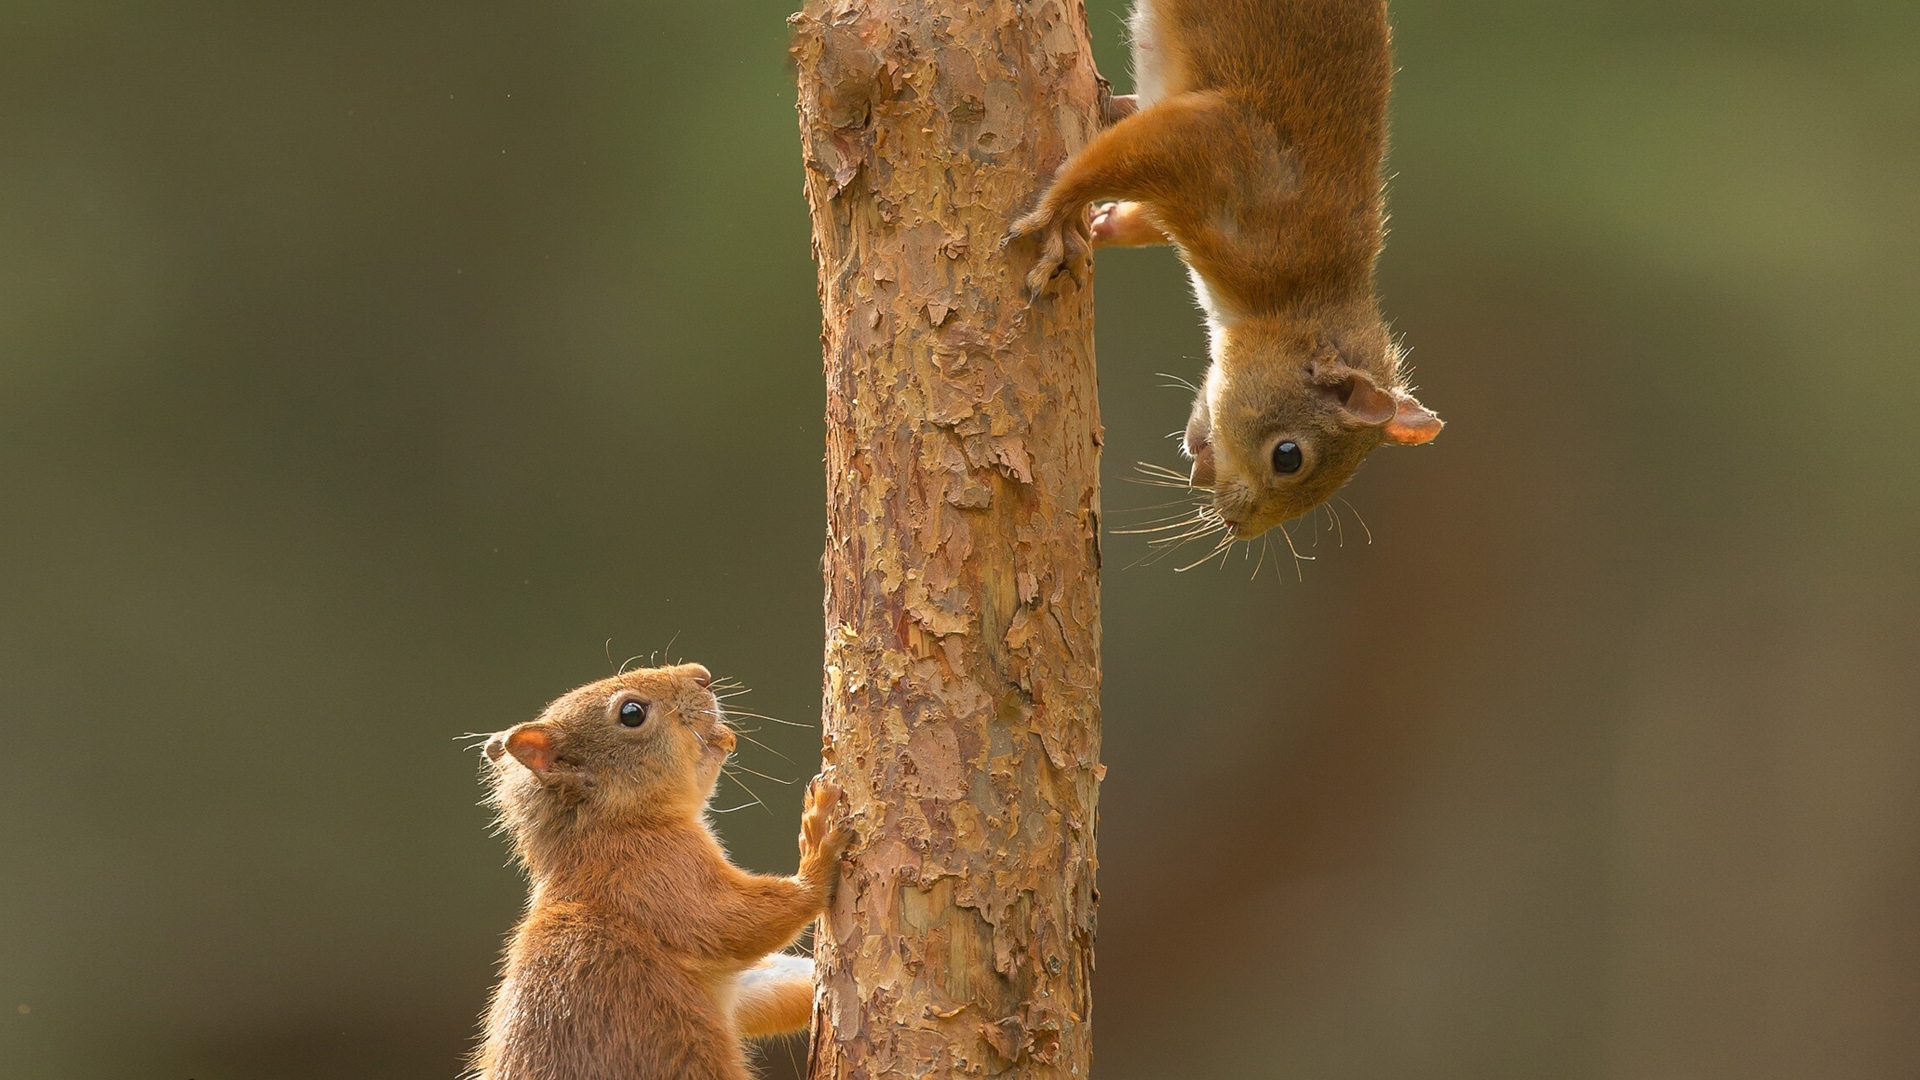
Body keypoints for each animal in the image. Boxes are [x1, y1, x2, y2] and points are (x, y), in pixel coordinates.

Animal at [472, 657, 848, 1076]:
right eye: (631, 713)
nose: (702, 675)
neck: (614, 828)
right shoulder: (657, 876)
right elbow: (735, 922)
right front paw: (819, 846)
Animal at [1006, 0, 1443, 538]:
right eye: (1288, 456)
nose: (1236, 524)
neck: (1296, 298)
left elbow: (1142, 210)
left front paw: (1105, 225)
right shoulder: (1222, 149)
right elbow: (1105, 162)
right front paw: (1056, 216)